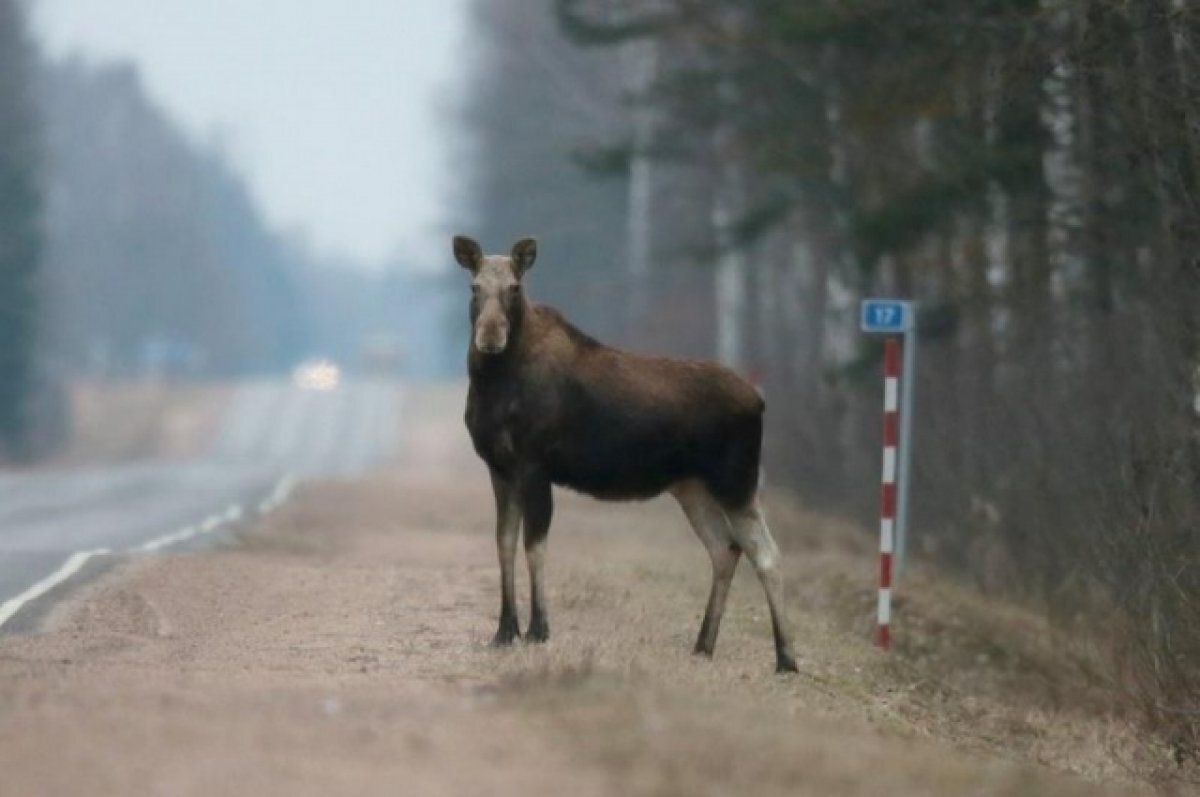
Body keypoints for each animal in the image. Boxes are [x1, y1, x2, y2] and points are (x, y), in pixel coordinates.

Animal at [456, 235, 796, 672]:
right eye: (474, 287)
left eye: (514, 288)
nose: (490, 337)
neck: (493, 385)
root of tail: (759, 400)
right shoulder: (499, 468)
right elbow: (504, 544)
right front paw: (503, 632)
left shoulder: (534, 466)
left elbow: (535, 546)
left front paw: (537, 631)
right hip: (692, 487)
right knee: (725, 548)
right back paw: (703, 644)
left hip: (735, 480)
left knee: (767, 553)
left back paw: (786, 658)